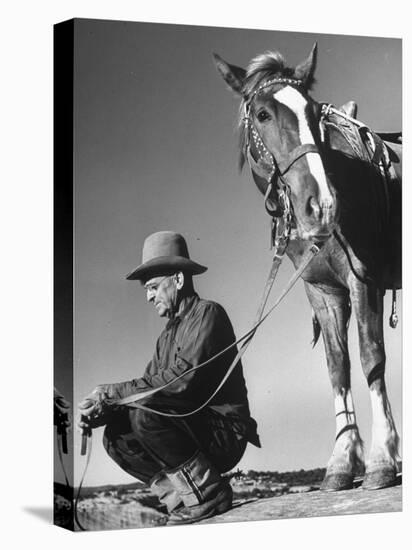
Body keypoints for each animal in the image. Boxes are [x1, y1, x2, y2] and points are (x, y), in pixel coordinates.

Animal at [214, 42, 400, 492]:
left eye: (314, 112)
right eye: (263, 114)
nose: (323, 206)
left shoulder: (364, 280)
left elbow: (371, 357)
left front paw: (382, 458)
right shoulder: (323, 293)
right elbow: (337, 366)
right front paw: (341, 461)